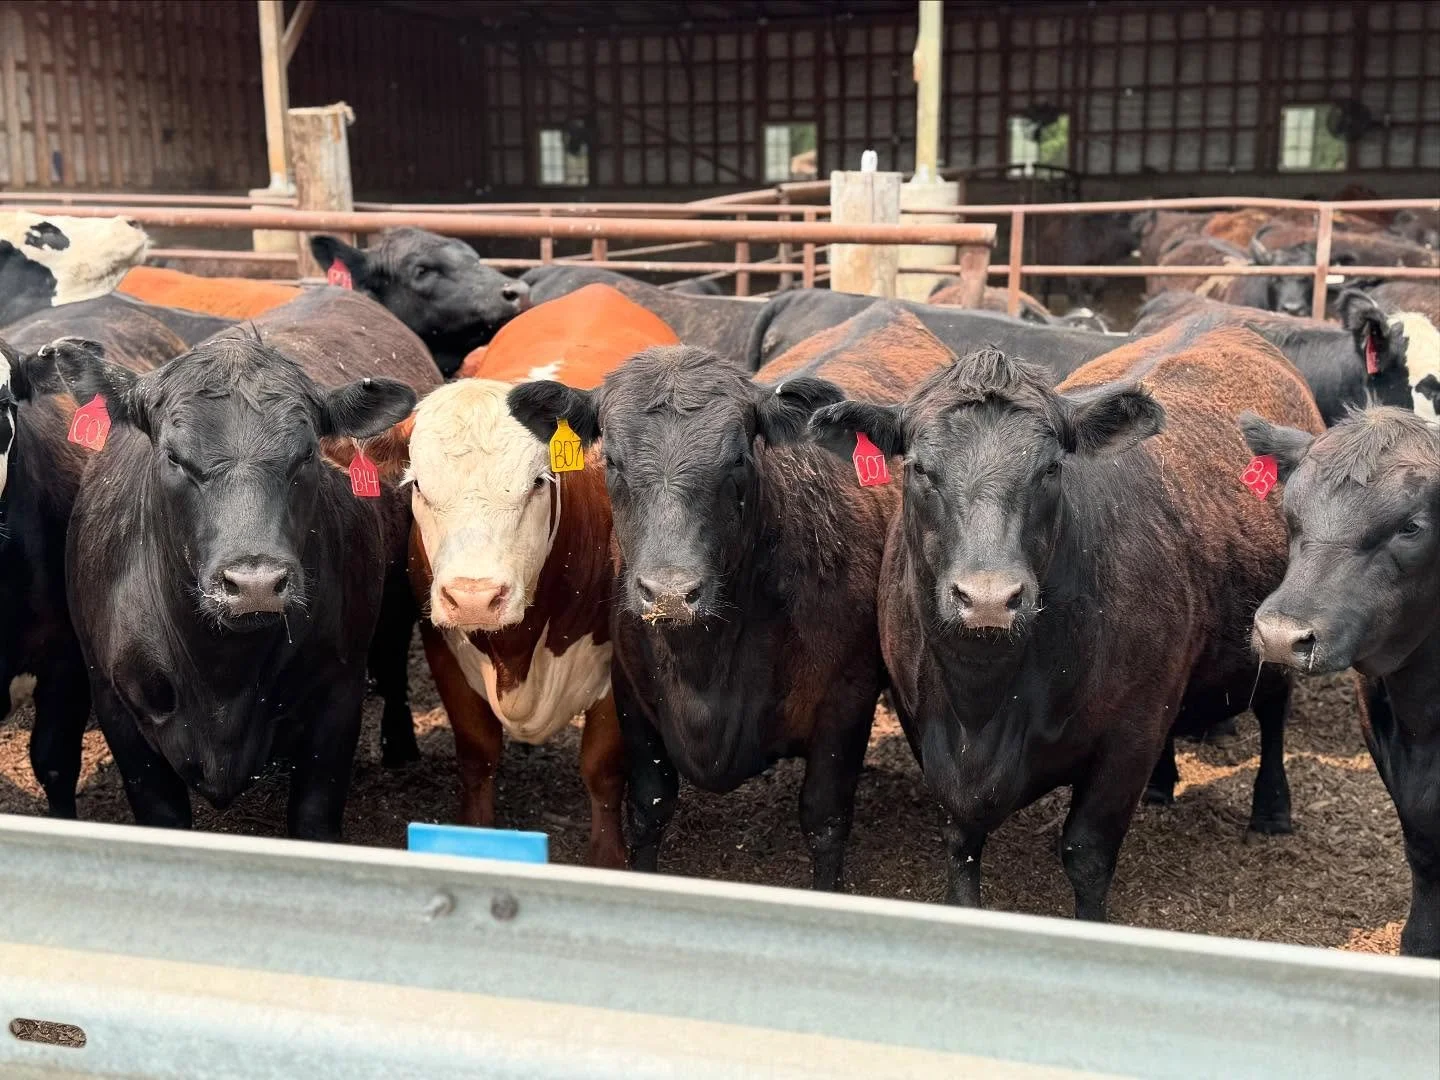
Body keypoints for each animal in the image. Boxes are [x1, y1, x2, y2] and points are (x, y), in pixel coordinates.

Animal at [51, 333, 416, 838]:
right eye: (174, 457)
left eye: (307, 455)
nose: (255, 584)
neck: (223, 673)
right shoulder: (115, 701)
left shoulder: (339, 694)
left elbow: (314, 818)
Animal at [507, 303, 956, 888]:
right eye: (613, 462)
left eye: (738, 459)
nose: (670, 593)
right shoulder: (630, 691)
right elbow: (649, 805)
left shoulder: (846, 700)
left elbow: (825, 818)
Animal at [804, 328, 1324, 918]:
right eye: (918, 469)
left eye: (1050, 468)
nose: (989, 598)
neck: (984, 702)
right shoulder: (925, 727)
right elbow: (961, 844)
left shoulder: (1129, 735)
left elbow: (1087, 853)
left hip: (1277, 640)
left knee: (1275, 715)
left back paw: (1272, 811)